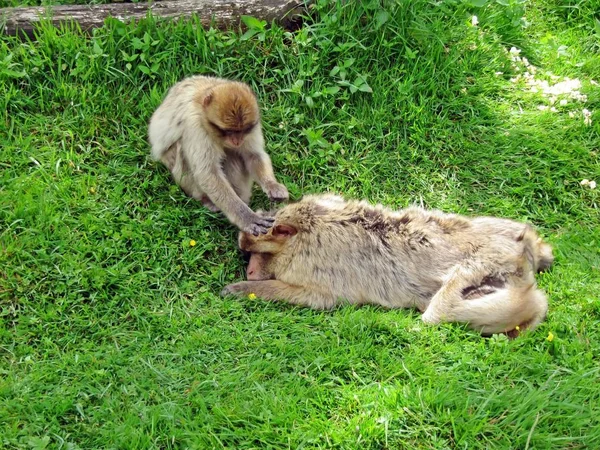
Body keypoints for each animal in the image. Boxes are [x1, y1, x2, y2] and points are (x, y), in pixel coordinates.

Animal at [220, 193, 552, 338]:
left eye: (256, 253)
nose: (249, 271)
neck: (308, 229)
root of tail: (523, 250)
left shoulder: (315, 266)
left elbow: (317, 298)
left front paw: (242, 288)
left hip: (491, 270)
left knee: (442, 311)